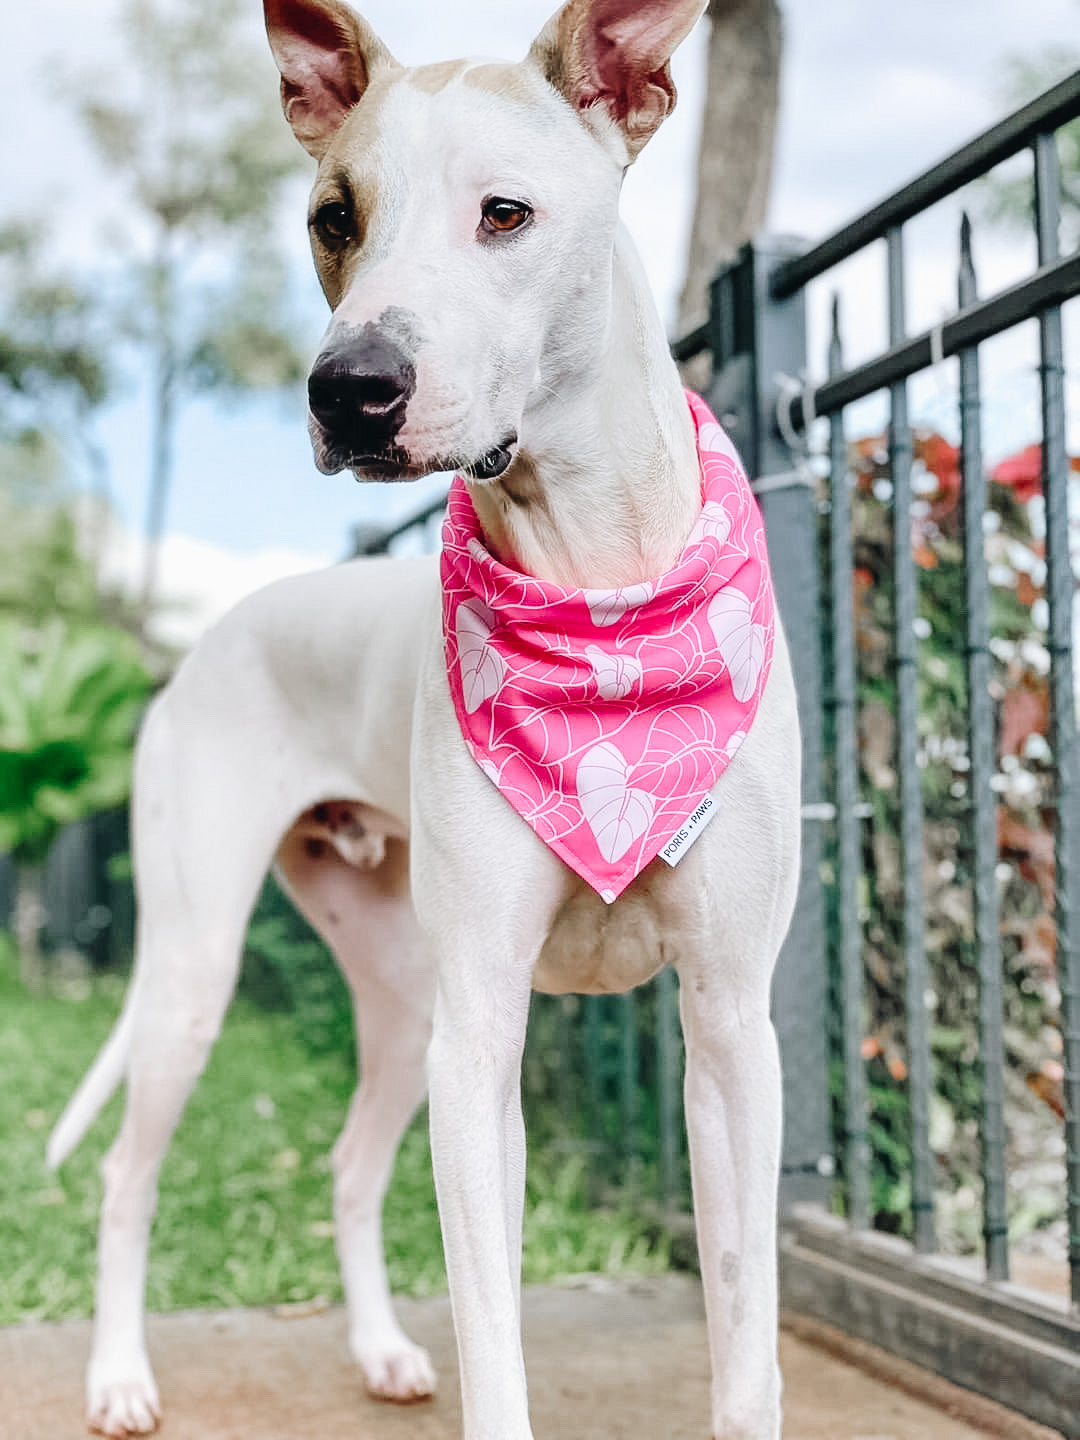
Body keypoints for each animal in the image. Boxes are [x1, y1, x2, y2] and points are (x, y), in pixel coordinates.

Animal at [50, 2, 806, 1440]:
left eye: (504, 213)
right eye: (331, 218)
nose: (349, 389)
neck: (597, 596)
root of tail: (209, 638)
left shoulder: (734, 1029)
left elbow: (746, 1348)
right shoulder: (481, 1041)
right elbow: (495, 1340)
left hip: (400, 1002)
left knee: (349, 1166)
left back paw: (381, 1350)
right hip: (199, 976)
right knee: (126, 1178)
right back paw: (117, 1376)